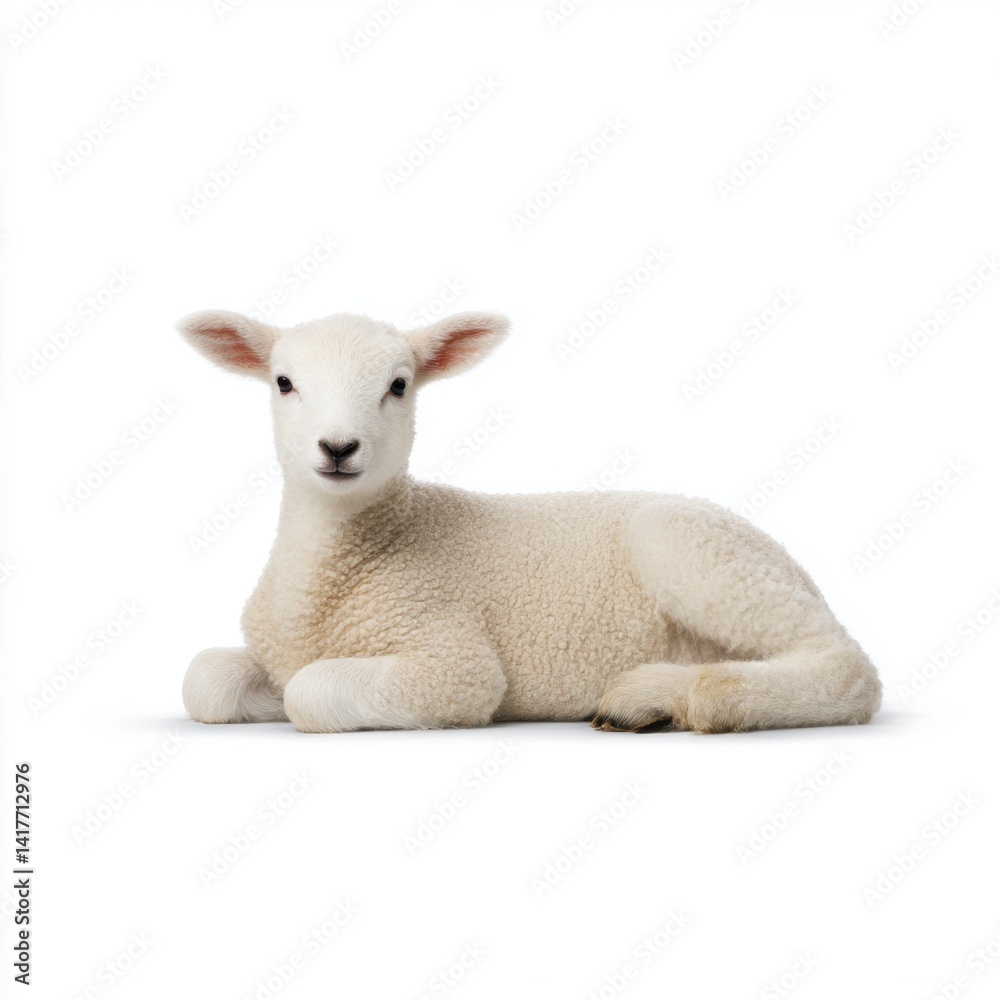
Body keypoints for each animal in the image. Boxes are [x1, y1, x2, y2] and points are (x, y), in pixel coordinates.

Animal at [177, 308, 882, 734]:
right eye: (283, 382)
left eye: (399, 385)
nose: (338, 447)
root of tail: (790, 560)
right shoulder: (276, 648)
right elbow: (204, 681)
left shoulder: (451, 660)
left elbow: (309, 692)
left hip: (692, 549)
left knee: (846, 668)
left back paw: (664, 697)